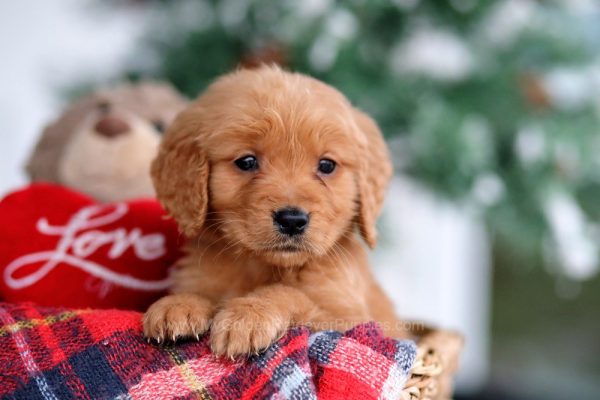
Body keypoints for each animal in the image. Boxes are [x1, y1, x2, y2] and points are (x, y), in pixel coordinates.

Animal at [145, 66, 408, 360]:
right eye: (247, 161)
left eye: (327, 165)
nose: (292, 220)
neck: (264, 266)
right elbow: (201, 291)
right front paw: (178, 304)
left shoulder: (351, 322)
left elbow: (291, 293)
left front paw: (248, 315)